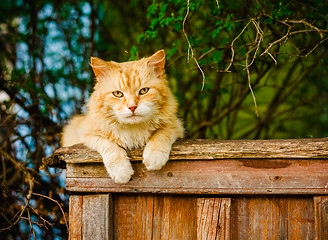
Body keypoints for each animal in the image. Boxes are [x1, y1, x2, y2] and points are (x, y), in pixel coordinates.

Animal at [60, 49, 184, 183]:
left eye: (144, 91)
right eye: (118, 94)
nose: (132, 107)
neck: (133, 128)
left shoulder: (175, 126)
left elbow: (161, 135)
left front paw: (154, 157)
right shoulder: (85, 133)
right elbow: (109, 146)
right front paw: (121, 171)